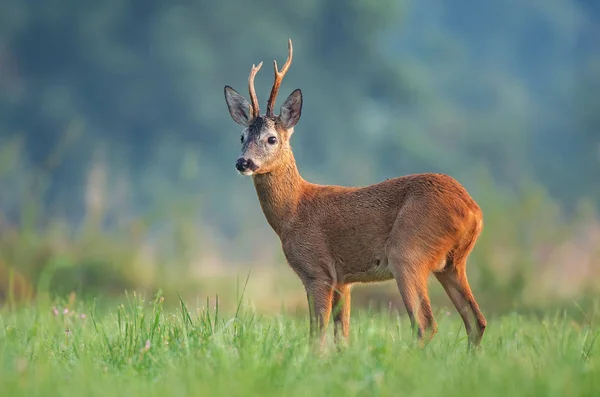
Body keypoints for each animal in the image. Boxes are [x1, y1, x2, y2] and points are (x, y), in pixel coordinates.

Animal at [223, 38, 486, 348]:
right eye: (242, 137)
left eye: (271, 138)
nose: (243, 162)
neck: (293, 211)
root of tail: (473, 210)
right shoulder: (343, 279)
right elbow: (342, 336)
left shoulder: (317, 270)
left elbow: (317, 333)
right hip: (452, 264)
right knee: (476, 321)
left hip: (409, 252)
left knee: (426, 324)